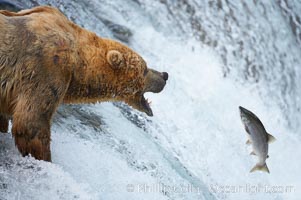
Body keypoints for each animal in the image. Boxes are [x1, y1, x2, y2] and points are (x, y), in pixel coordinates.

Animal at [0, 6, 168, 162]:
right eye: (145, 69)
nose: (164, 75)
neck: (79, 65)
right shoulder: (46, 69)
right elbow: (31, 123)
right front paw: (45, 158)